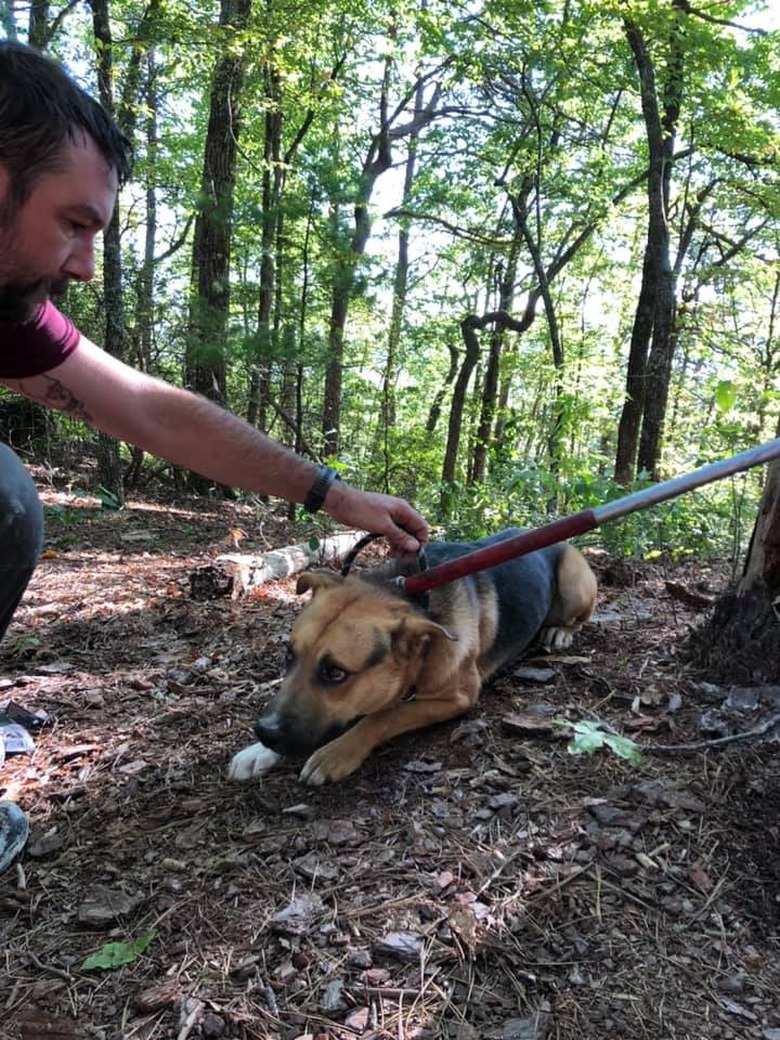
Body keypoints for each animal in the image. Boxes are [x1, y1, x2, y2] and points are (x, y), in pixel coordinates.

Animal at [227, 528, 599, 786]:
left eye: (335, 672)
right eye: (289, 654)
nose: (264, 733)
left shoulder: (457, 697)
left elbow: (383, 715)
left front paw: (336, 752)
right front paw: (258, 752)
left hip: (574, 581)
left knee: (577, 618)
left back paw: (560, 631)